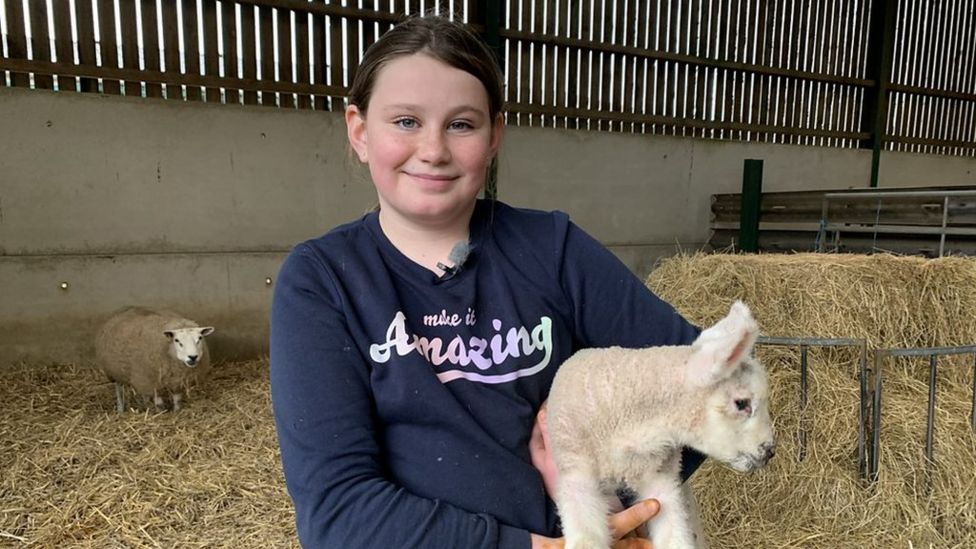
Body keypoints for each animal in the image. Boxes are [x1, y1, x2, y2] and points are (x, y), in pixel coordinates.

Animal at [548, 300, 776, 548]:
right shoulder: (575, 475)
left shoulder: (661, 479)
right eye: (741, 403)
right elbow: (586, 539)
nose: (769, 451)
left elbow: (675, 539)